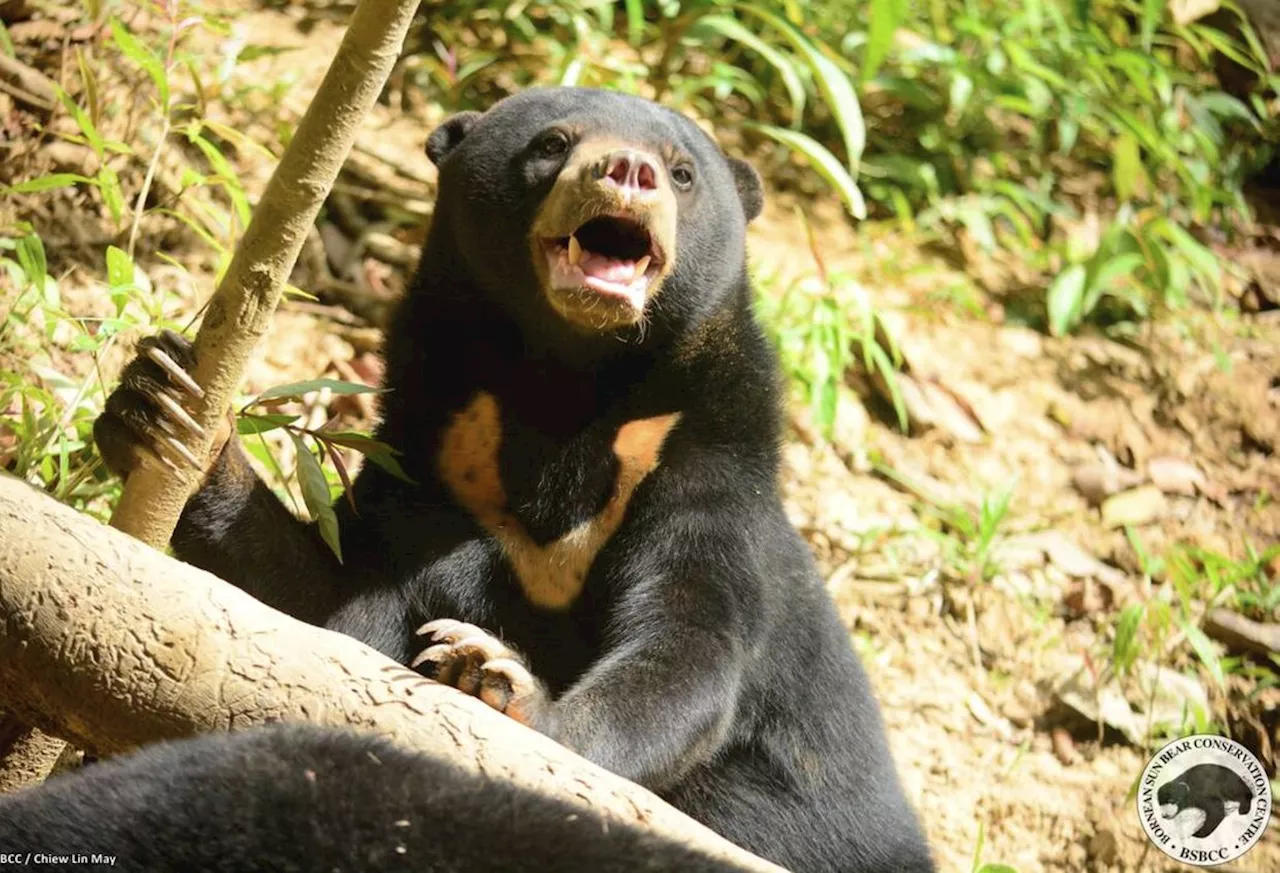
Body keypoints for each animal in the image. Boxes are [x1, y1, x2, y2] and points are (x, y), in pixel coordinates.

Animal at [92, 85, 931, 865]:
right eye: (552, 144)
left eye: (681, 172)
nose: (627, 171)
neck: (562, 386)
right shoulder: (429, 456)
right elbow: (324, 592)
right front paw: (162, 406)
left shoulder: (700, 463)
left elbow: (689, 645)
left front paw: (493, 680)